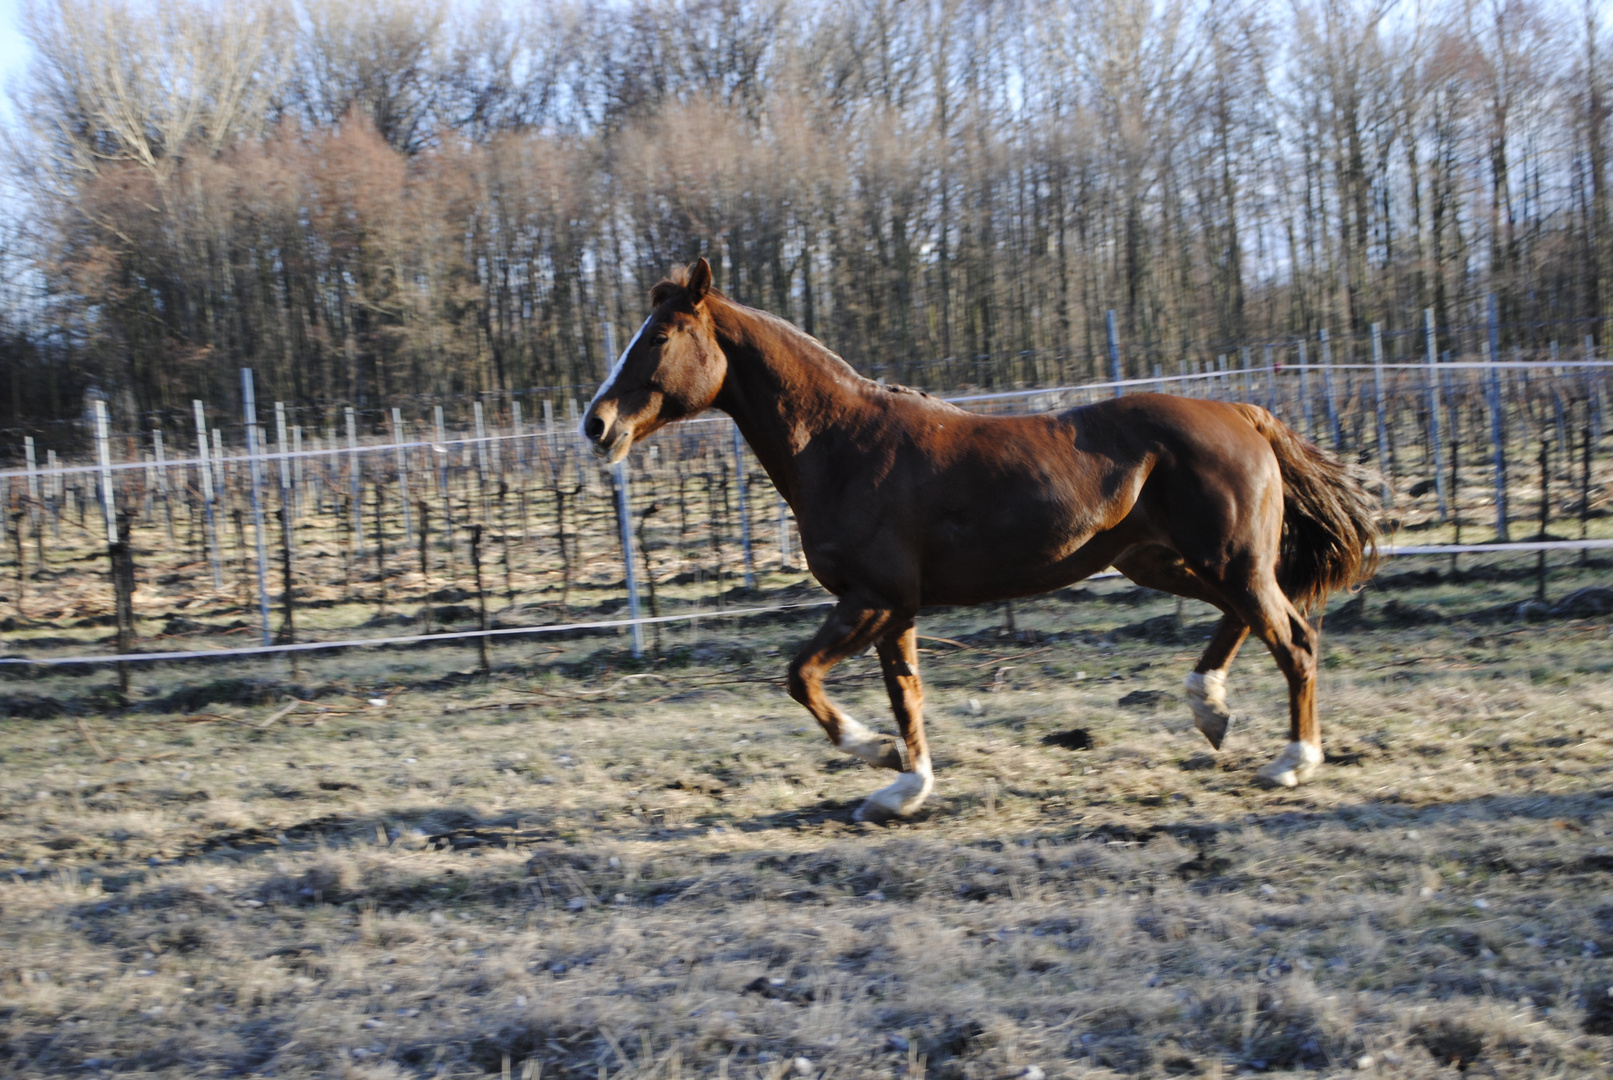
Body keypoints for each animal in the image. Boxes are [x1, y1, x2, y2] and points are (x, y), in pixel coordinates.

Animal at [580, 259, 1374, 822]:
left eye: (658, 337)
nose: (596, 424)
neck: (840, 444)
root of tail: (1242, 412)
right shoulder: (894, 608)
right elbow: (906, 693)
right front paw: (904, 787)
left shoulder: (870, 598)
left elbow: (802, 675)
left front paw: (873, 754)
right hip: (1164, 562)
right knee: (1250, 619)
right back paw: (1209, 708)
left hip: (1227, 560)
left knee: (1293, 638)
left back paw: (1292, 761)